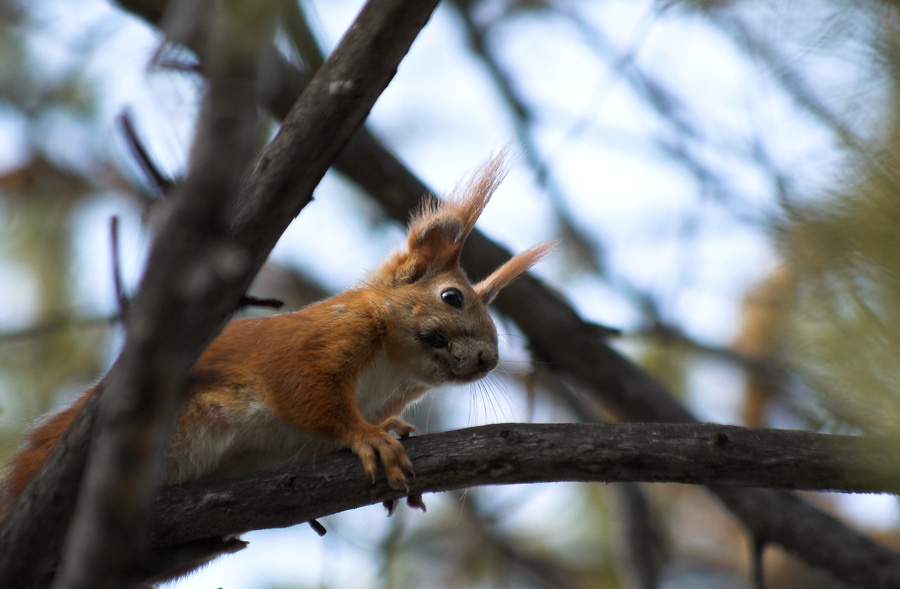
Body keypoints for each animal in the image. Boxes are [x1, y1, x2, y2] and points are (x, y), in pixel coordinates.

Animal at [0, 152, 552, 579]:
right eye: (452, 297)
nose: (488, 359)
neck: (393, 368)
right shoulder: (313, 343)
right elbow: (303, 391)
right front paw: (369, 437)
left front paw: (393, 428)